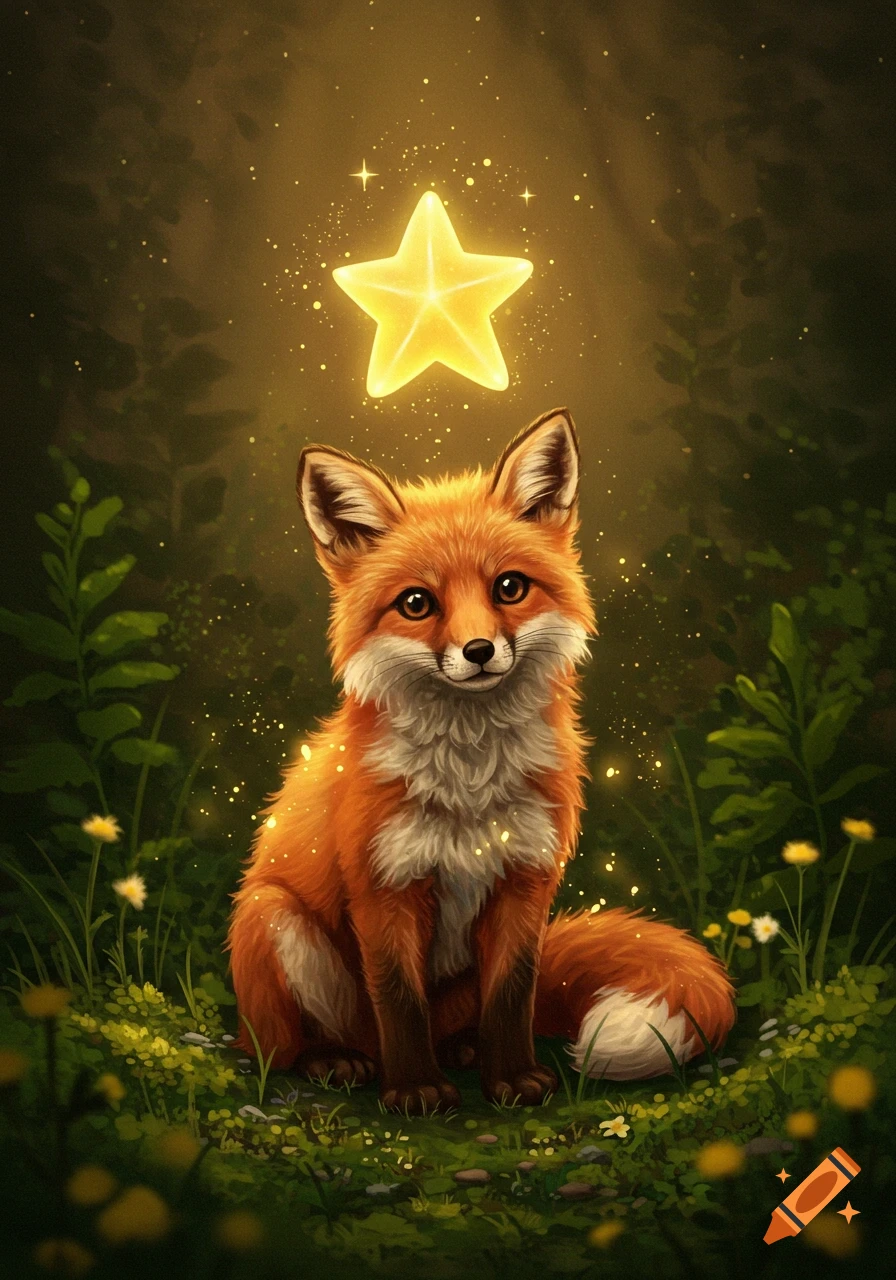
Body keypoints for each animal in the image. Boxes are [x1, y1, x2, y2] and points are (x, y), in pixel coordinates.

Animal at [228, 407, 735, 1113]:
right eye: (416, 603)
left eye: (509, 588)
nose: (477, 650)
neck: (469, 779)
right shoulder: (383, 885)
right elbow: (400, 1001)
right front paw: (413, 1090)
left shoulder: (525, 877)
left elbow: (512, 996)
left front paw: (514, 1079)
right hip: (274, 919)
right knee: (277, 1050)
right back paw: (338, 1060)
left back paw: (463, 1051)